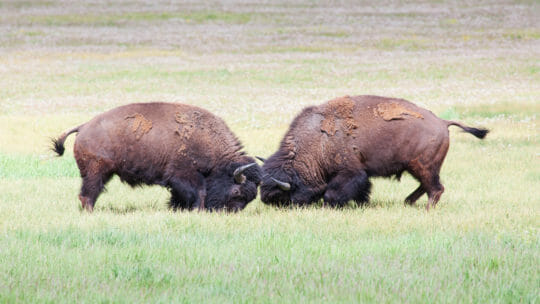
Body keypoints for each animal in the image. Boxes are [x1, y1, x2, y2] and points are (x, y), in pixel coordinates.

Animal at [51, 102, 262, 211]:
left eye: (251, 197)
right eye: (236, 192)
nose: (230, 212)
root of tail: (83, 126)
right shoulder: (183, 175)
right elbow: (200, 192)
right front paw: (198, 210)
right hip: (96, 171)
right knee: (89, 193)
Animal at [262, 94, 490, 209]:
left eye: (282, 196)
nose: (267, 203)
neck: (319, 141)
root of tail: (442, 122)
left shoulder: (350, 173)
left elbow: (333, 193)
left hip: (422, 166)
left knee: (435, 188)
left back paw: (425, 209)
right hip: (419, 168)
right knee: (428, 186)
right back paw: (407, 202)